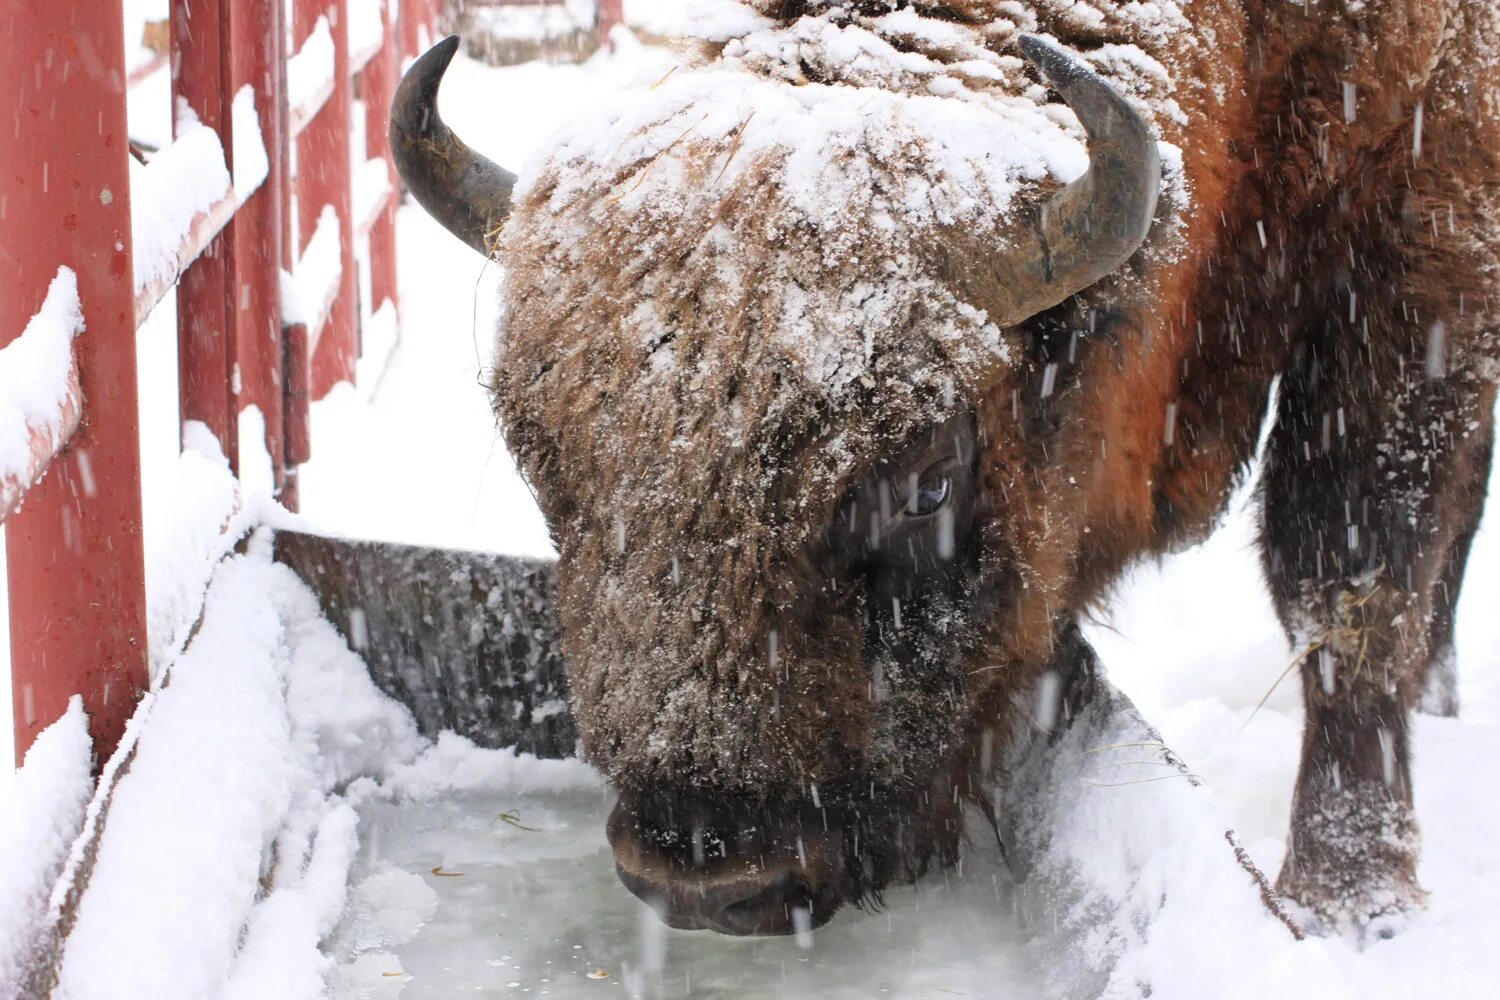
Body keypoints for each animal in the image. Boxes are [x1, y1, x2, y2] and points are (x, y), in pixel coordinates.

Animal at [390, 1, 1499, 940]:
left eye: (924, 481)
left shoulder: (1415, 246)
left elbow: (1351, 589)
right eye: (545, 473)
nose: (703, 875)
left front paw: (1350, 903)